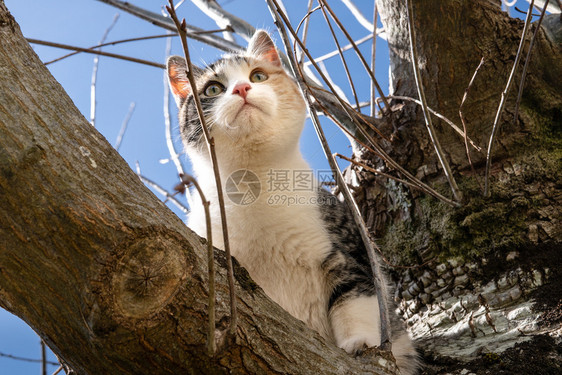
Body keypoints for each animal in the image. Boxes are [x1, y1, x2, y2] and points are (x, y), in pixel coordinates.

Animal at [165, 30, 416, 375]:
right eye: (213, 88)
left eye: (258, 76)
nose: (242, 88)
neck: (254, 185)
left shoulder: (348, 245)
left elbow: (356, 298)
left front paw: (359, 344)